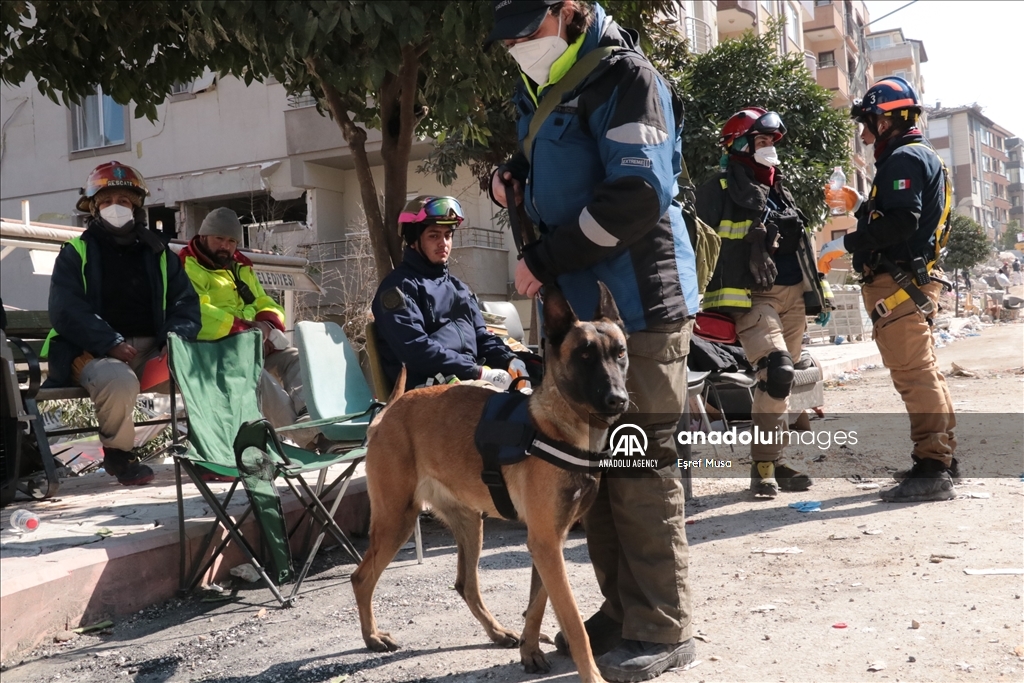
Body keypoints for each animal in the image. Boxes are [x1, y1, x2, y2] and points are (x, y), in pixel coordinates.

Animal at [351, 283, 629, 683]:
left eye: (619, 353)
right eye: (585, 355)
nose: (618, 400)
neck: (561, 428)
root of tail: (389, 410)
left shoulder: (550, 541)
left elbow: (538, 603)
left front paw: (530, 650)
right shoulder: (546, 543)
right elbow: (573, 621)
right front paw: (591, 675)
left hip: (469, 524)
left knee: (466, 584)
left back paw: (497, 632)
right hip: (396, 520)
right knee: (362, 579)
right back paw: (372, 637)